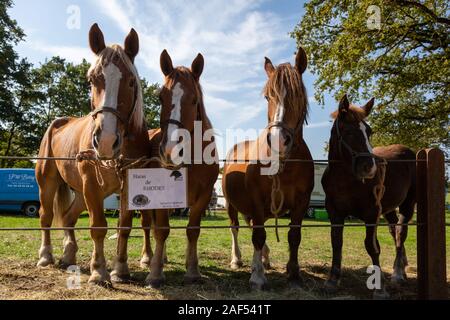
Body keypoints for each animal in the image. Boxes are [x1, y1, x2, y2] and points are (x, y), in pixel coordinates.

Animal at [35, 24, 151, 284]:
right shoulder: (92, 185)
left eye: (131, 82)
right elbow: (98, 227)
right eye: (91, 79)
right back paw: (46, 256)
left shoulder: (128, 188)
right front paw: (99, 271)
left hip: (80, 192)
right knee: (46, 216)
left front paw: (120, 269)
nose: (106, 141)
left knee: (68, 218)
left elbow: (124, 227)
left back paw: (68, 256)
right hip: (49, 183)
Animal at [141, 50, 218, 288]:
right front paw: (155, 273)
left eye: (194, 100)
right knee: (148, 226)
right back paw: (150, 258)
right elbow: (161, 230)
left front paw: (192, 270)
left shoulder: (203, 196)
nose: (170, 150)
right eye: (160, 97)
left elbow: (192, 231)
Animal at [221, 49, 312, 290]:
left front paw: (294, 274)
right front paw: (258, 277)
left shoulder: (302, 202)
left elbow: (294, 236)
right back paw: (238, 259)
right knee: (236, 228)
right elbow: (259, 236)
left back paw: (264, 258)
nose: (279, 140)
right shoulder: (255, 199)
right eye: (267, 97)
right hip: (231, 204)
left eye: (298, 95)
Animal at [324, 94, 414, 298]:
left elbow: (372, 247)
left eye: (369, 132)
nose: (370, 167)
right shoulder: (335, 212)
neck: (345, 180)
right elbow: (336, 242)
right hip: (389, 209)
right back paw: (401, 268)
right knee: (394, 231)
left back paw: (398, 274)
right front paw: (332, 280)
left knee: (401, 233)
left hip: (408, 204)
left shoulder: (372, 213)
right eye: (348, 132)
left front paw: (380, 289)